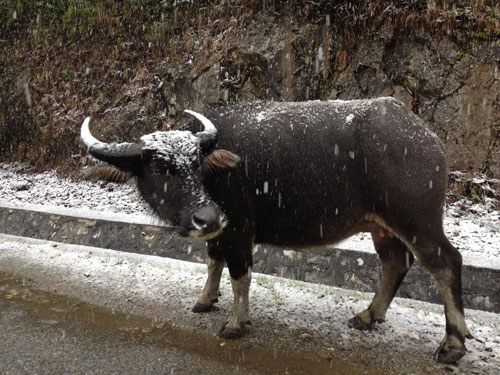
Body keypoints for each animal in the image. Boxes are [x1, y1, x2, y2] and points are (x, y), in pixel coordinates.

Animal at [80, 98, 470, 366]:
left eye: (195, 164)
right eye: (161, 167)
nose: (206, 215)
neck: (219, 171)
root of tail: (425, 136)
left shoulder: (238, 229)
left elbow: (240, 274)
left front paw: (236, 322)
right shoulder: (219, 231)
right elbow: (213, 261)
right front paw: (205, 300)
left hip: (417, 220)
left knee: (446, 263)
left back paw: (452, 344)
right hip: (382, 226)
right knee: (395, 263)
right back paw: (368, 316)